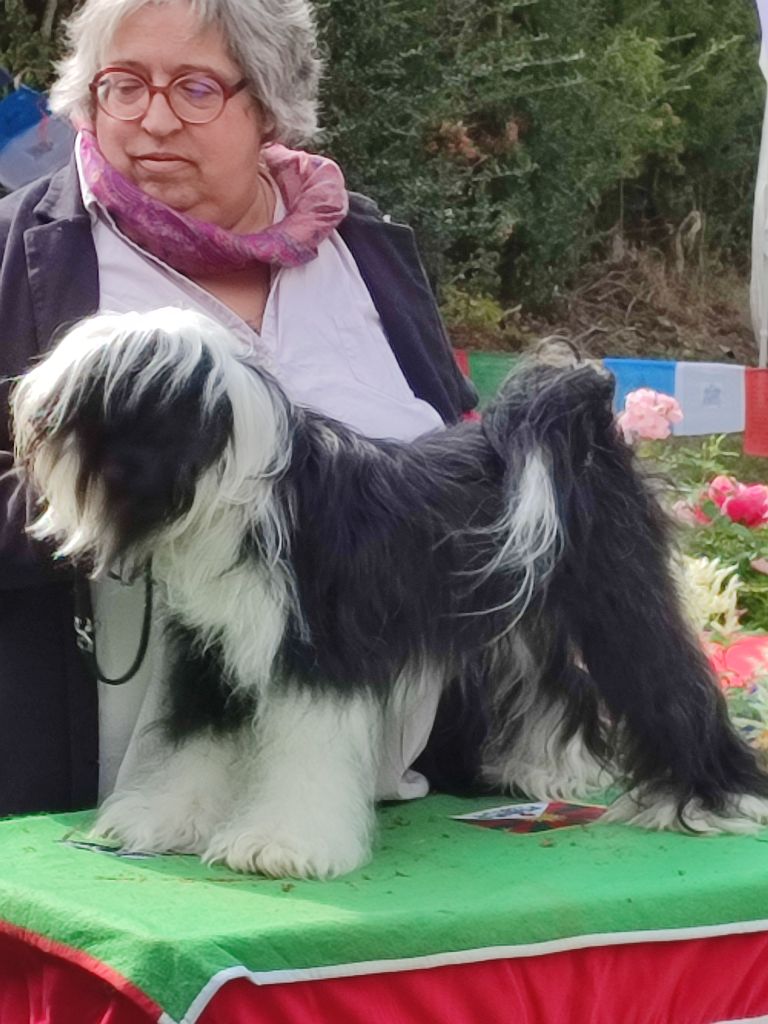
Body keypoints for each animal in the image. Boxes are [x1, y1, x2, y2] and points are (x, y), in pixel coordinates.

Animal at [10, 307, 768, 876]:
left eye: (95, 389)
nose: (28, 411)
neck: (246, 496)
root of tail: (577, 425)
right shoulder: (211, 654)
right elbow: (192, 749)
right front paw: (160, 821)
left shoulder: (319, 657)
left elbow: (303, 758)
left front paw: (279, 846)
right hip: (525, 622)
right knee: (561, 690)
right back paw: (547, 773)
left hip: (619, 600)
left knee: (671, 687)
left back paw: (720, 801)